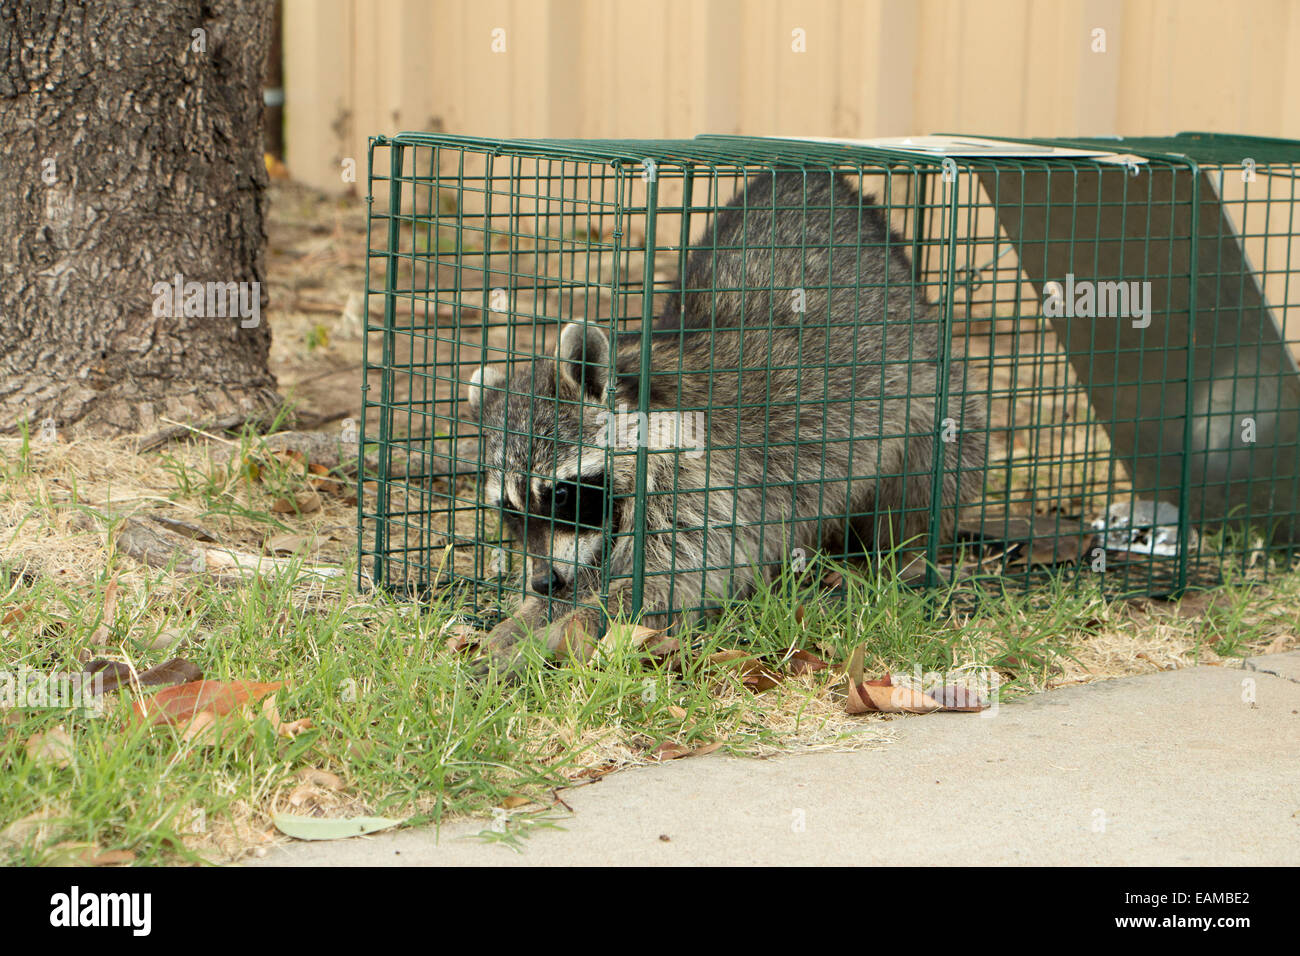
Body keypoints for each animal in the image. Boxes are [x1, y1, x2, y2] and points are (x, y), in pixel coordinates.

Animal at [467, 169, 986, 669]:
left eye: (561, 494)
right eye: (508, 508)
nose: (542, 582)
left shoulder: (698, 485)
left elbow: (664, 586)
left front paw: (544, 641)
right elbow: (594, 572)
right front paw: (521, 623)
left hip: (927, 386)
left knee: (931, 470)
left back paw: (906, 558)